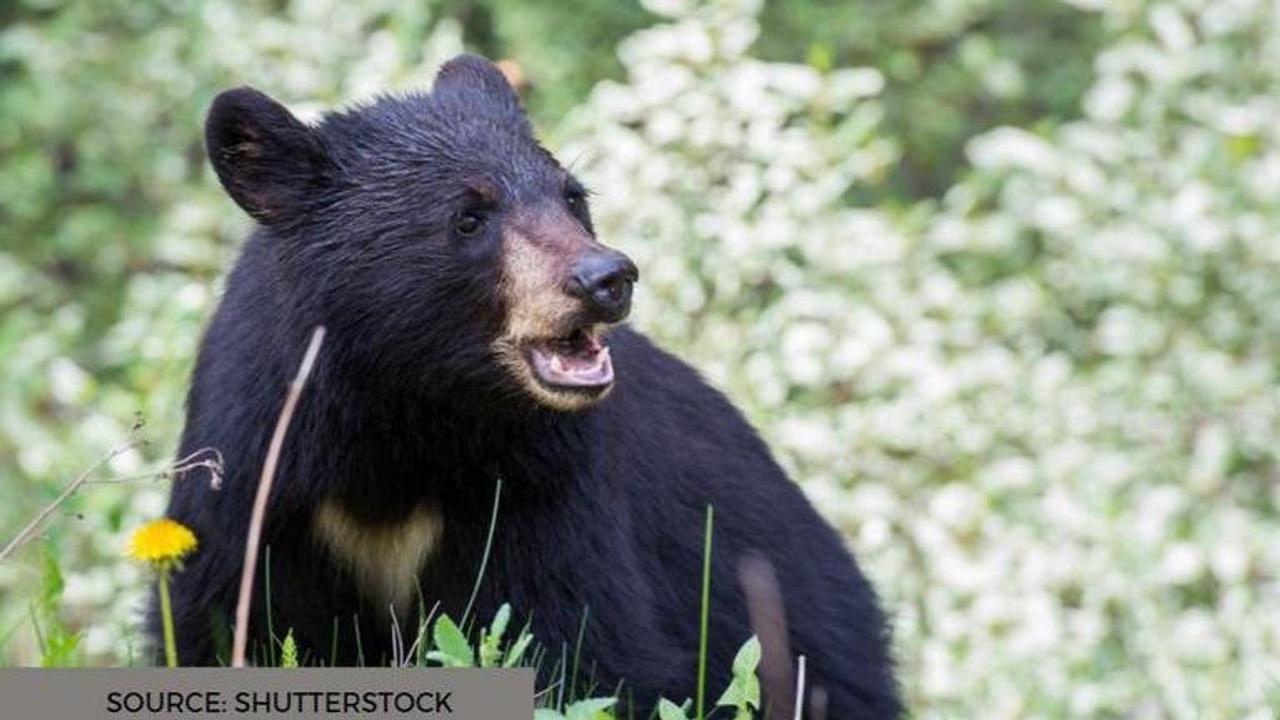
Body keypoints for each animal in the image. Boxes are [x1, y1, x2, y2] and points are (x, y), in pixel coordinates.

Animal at [157, 53, 901, 712]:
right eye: (468, 216)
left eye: (574, 197)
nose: (606, 278)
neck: (403, 411)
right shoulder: (259, 479)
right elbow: (219, 622)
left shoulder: (541, 485)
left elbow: (571, 643)